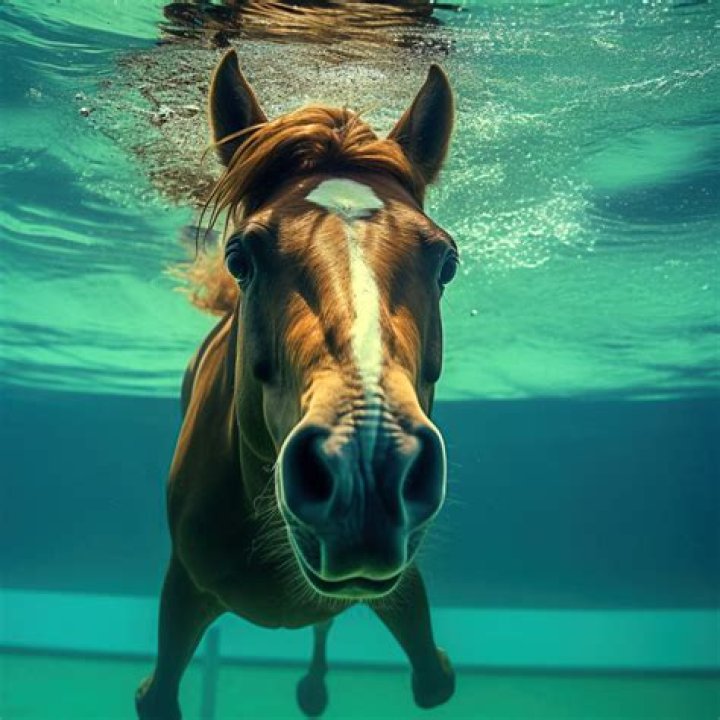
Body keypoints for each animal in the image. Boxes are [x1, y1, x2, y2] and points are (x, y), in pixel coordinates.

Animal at [135, 48, 457, 719]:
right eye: (239, 256)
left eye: (446, 261)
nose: (367, 471)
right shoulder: (184, 585)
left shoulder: (397, 583)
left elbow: (434, 681)